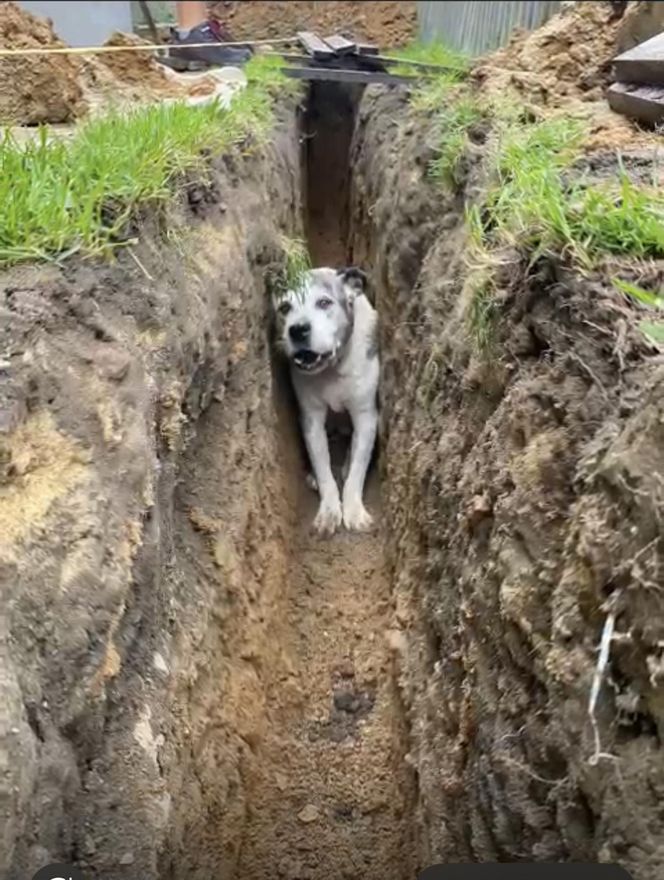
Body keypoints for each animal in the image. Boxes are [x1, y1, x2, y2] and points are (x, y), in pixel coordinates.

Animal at [272, 264, 378, 532]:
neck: (332, 369)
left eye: (324, 302)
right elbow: (323, 467)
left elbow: (358, 469)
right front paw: (329, 510)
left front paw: (353, 510)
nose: (298, 329)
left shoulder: (366, 417)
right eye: (285, 307)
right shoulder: (311, 419)